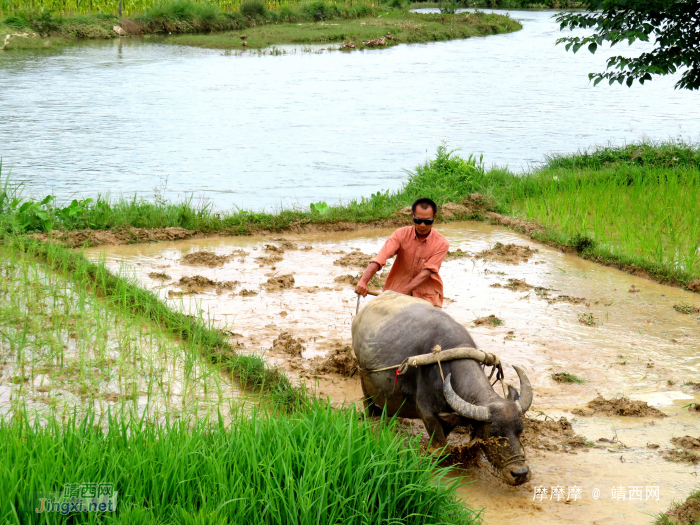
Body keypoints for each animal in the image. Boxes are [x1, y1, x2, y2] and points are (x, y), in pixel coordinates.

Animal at [352, 290, 532, 484]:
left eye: (520, 431)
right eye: (493, 434)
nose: (520, 473)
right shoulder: (427, 413)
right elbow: (439, 448)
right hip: (364, 378)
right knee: (368, 403)